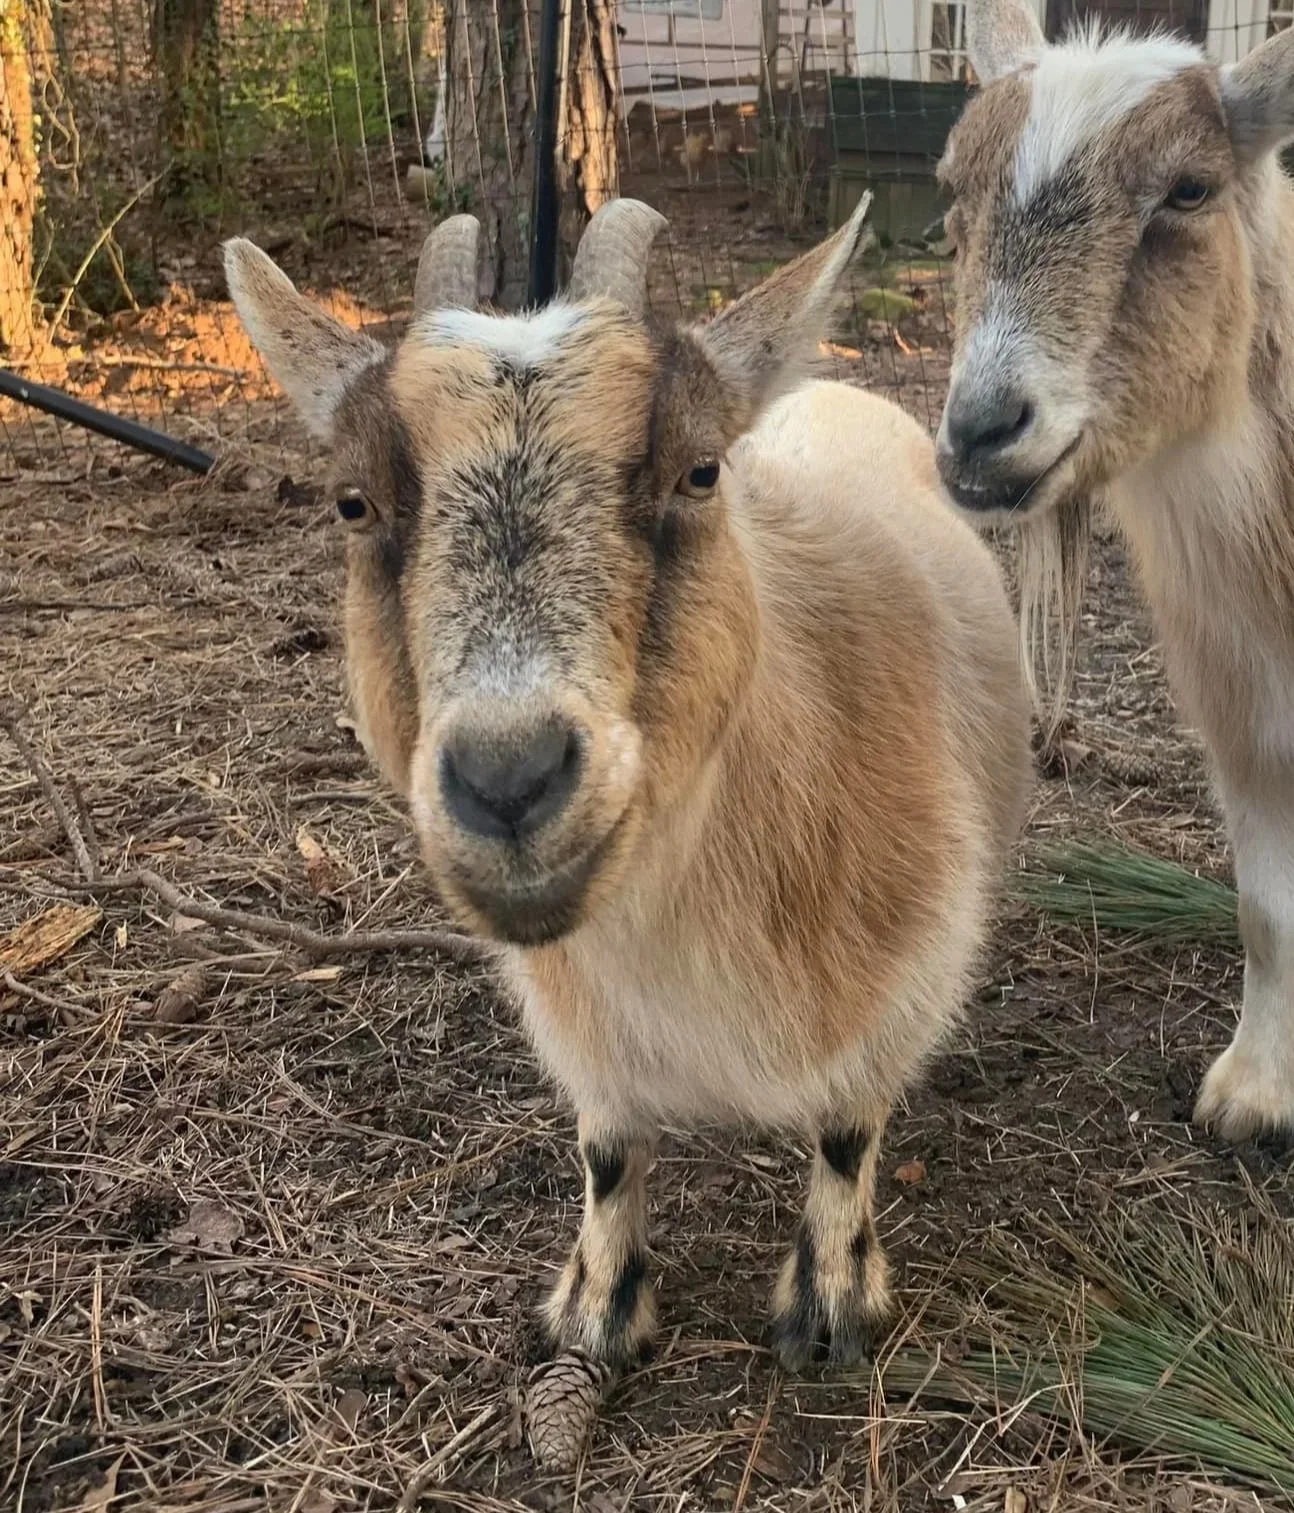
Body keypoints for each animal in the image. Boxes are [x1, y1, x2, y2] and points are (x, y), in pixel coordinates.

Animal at [223, 199, 1031, 1371]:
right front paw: (597, 1308)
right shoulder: (582, 1027)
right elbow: (609, 1151)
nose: (509, 781)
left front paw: (829, 1305)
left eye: (699, 472)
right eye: (352, 501)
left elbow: (845, 1134)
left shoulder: (905, 983)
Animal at [934, 2, 1294, 1143]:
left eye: (1189, 189)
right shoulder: (1242, 701)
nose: (981, 431)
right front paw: (1252, 1093)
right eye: (951, 193)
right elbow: (1266, 906)